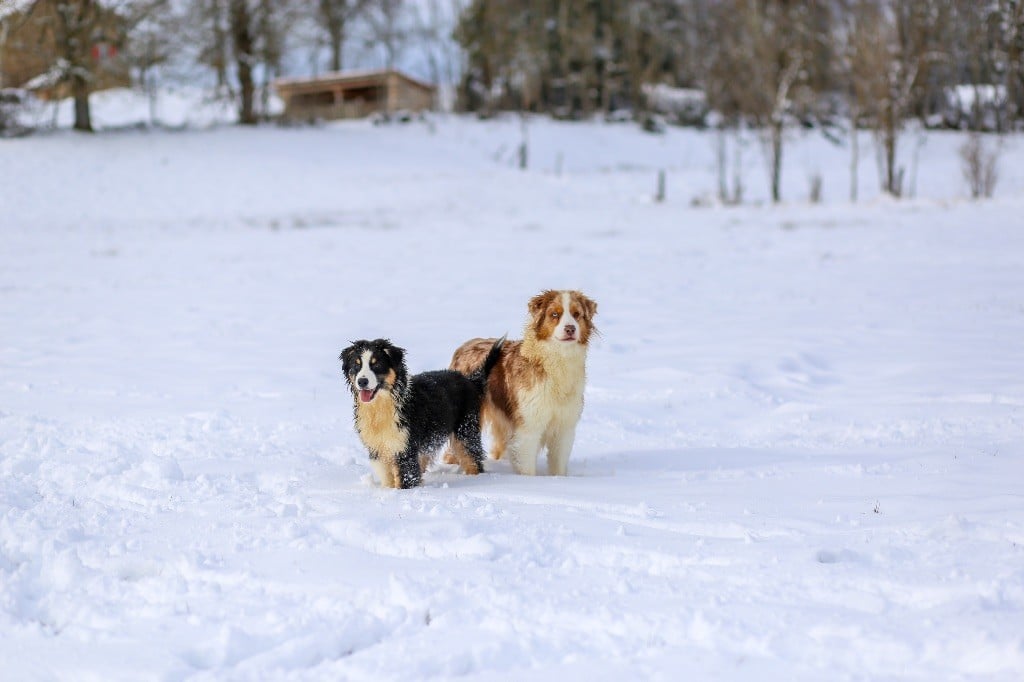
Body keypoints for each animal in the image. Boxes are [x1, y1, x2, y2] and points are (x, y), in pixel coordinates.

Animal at [342, 335, 505, 485]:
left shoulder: (405, 447)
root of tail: (469, 380)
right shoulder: (378, 449)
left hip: (466, 428)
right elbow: (388, 480)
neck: (383, 404)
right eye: (356, 365)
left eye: (376, 365)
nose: (362, 381)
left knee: (473, 459)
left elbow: (406, 480)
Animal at [450, 286, 598, 473]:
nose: (570, 328)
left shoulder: (564, 427)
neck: (556, 362)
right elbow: (527, 468)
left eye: (577, 314)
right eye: (554, 314)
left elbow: (558, 467)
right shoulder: (528, 427)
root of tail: (464, 346)